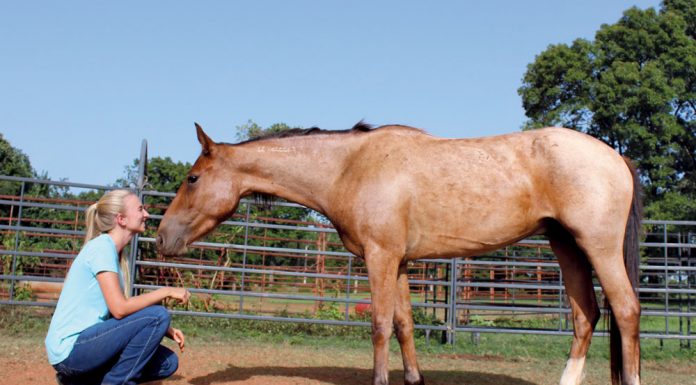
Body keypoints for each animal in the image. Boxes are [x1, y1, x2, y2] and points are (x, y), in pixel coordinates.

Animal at [156, 121, 640, 384]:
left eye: (193, 178)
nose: (160, 238)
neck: (351, 167)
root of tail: (616, 157)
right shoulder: (402, 263)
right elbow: (405, 326)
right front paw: (413, 377)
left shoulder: (381, 257)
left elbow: (380, 327)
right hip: (566, 246)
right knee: (586, 316)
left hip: (597, 247)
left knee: (626, 310)